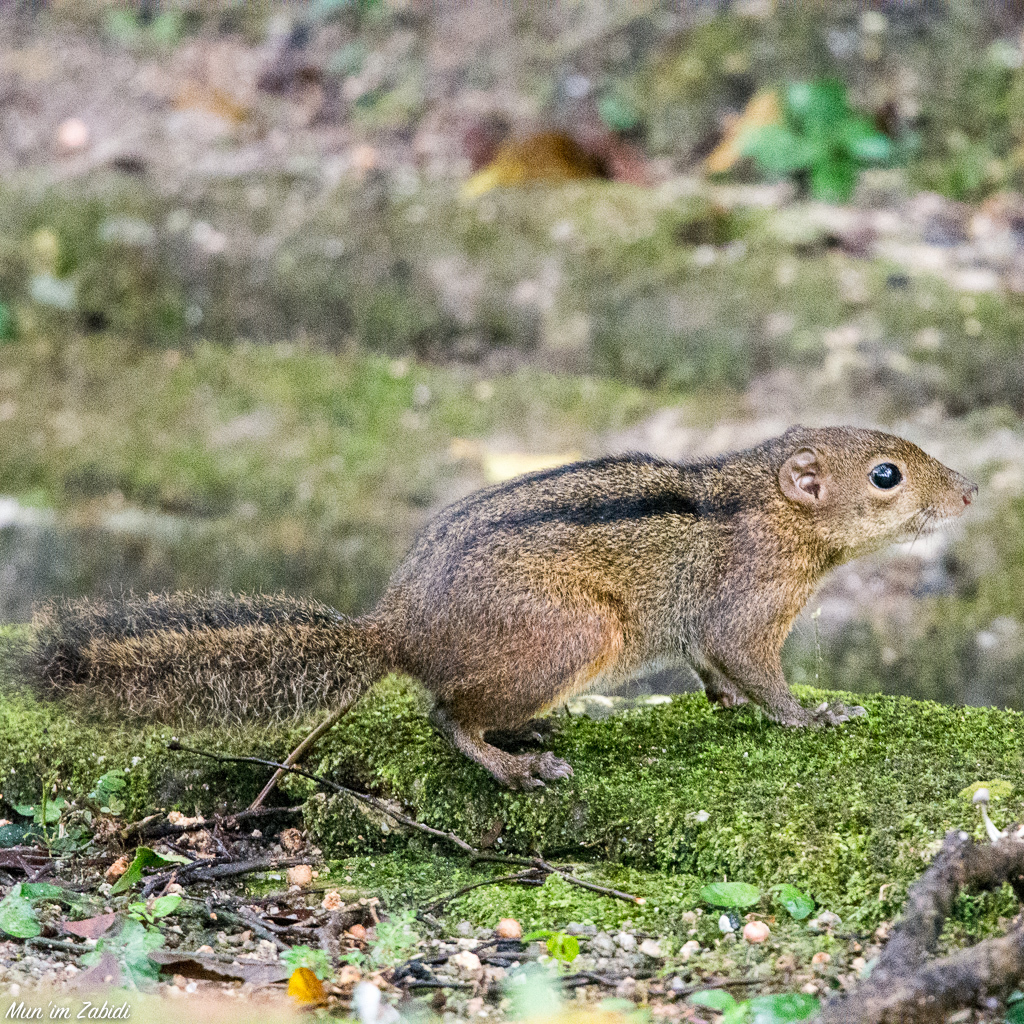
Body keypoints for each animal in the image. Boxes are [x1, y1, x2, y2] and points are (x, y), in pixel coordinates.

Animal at [27, 426, 976, 791]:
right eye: (886, 475)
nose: (969, 491)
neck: (767, 508)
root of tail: (395, 628)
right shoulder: (749, 606)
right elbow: (752, 665)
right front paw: (812, 716)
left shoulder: (708, 629)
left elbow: (711, 668)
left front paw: (729, 703)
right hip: (577, 633)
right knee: (449, 715)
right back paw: (515, 762)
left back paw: (530, 730)